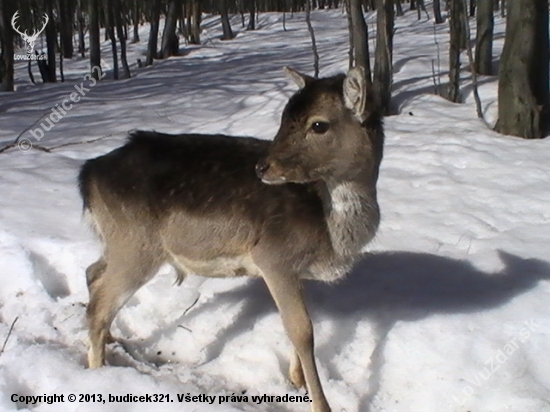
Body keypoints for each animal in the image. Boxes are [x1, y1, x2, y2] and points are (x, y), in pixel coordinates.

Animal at [80, 66, 386, 410]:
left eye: (318, 124)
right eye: (284, 117)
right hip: (136, 245)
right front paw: (320, 403)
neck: (333, 233)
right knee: (99, 305)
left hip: (116, 241)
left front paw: (296, 380)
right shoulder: (273, 256)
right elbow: (301, 330)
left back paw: (109, 339)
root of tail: (88, 174)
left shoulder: (294, 270)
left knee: (93, 273)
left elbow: (300, 324)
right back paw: (98, 370)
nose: (262, 167)